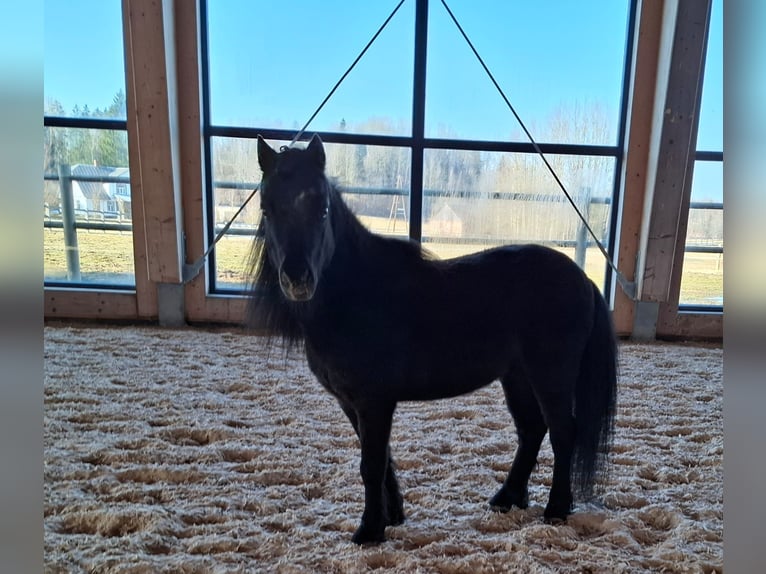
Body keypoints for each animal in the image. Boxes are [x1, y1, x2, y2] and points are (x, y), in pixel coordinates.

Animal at [247, 134, 618, 545]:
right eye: (266, 208)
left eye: (322, 208)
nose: (298, 280)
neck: (359, 291)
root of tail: (583, 279)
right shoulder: (352, 403)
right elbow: (382, 460)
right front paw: (392, 515)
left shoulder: (373, 401)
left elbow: (371, 464)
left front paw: (369, 531)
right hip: (517, 376)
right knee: (531, 430)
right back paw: (507, 498)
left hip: (550, 375)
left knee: (562, 432)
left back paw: (555, 510)